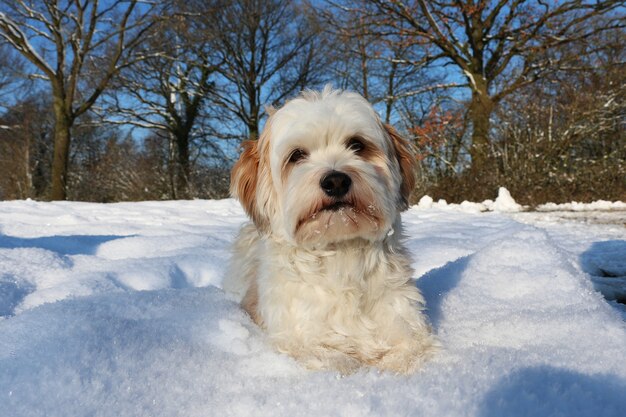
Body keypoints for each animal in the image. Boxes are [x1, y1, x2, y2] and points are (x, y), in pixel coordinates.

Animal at [223, 86, 434, 372]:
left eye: (357, 145)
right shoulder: (301, 342)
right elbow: (337, 362)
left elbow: (410, 354)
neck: (341, 252)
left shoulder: (407, 326)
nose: (335, 181)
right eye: (297, 155)